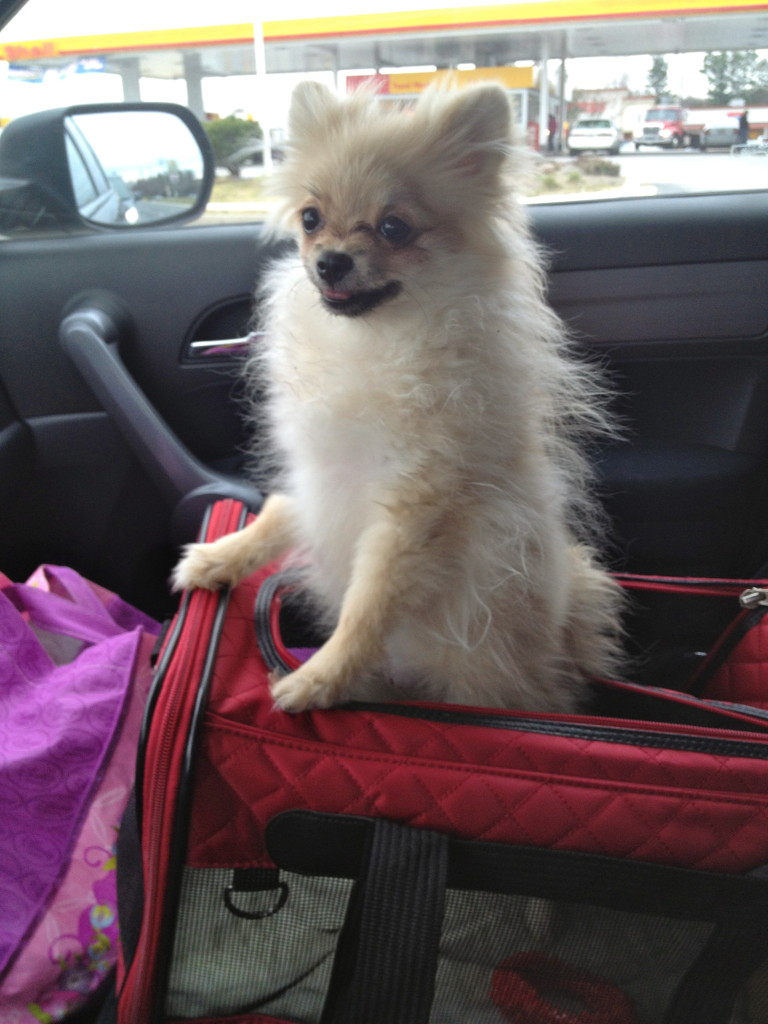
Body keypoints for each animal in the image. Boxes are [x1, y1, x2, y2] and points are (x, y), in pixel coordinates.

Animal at [174, 79, 626, 712]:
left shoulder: (415, 510)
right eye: (311, 218)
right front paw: (221, 557)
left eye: (394, 228)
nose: (331, 261)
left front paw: (320, 678)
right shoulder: (319, 473)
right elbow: (281, 511)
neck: (376, 341)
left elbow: (369, 603)